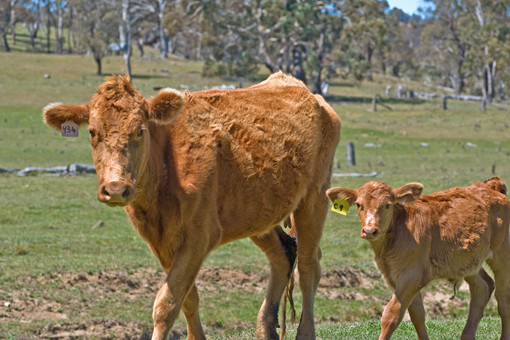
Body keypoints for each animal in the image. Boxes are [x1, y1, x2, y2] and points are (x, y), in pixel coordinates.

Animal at [42, 72, 338, 340]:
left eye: (140, 130)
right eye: (93, 132)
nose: (116, 188)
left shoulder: (199, 236)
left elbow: (167, 303)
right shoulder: (161, 241)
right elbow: (187, 297)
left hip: (314, 199)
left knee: (308, 267)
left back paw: (305, 333)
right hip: (258, 212)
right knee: (283, 255)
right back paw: (265, 329)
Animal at [326, 178, 510, 340]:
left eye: (387, 204)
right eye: (359, 205)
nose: (370, 230)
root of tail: (489, 185)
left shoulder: (412, 274)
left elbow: (391, 314)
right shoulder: (397, 276)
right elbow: (417, 314)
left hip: (502, 255)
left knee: (503, 298)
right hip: (467, 261)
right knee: (482, 288)